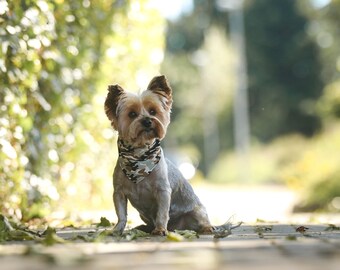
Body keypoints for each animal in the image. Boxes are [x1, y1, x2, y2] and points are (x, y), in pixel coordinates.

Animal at [103, 75, 231, 235]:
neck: (139, 155)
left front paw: (160, 229)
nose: (147, 121)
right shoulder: (119, 192)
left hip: (197, 211)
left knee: (202, 220)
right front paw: (117, 229)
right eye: (132, 114)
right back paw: (144, 227)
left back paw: (207, 228)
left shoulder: (163, 191)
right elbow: (121, 214)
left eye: (153, 111)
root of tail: (176, 227)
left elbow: (162, 213)